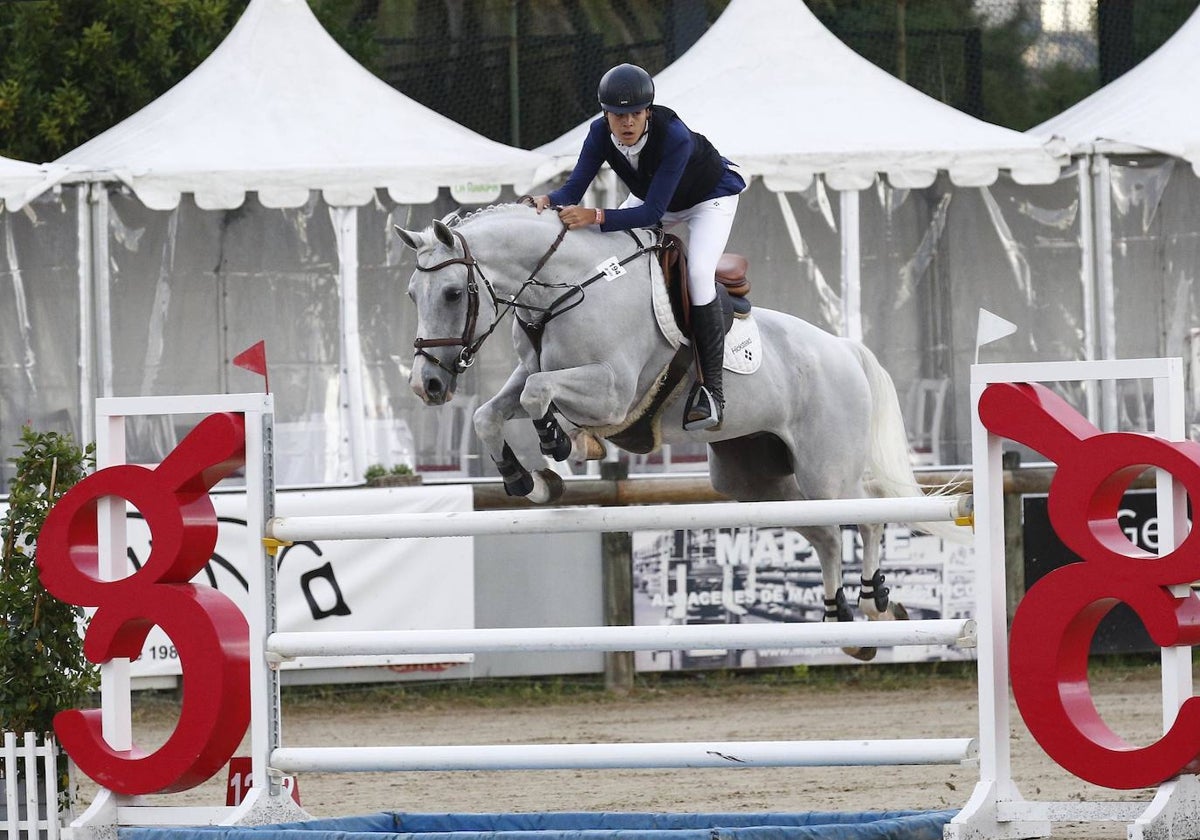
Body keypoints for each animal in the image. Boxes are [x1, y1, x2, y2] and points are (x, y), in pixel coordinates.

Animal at [393, 201, 955, 657]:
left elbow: (539, 393)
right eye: (411, 294)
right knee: (826, 534)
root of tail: (846, 349)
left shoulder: (613, 390)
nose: (428, 385)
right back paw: (841, 619)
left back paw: (875, 602)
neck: (566, 289)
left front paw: (556, 440)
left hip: (827, 471)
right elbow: (491, 412)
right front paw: (530, 482)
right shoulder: (528, 375)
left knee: (868, 518)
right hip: (756, 481)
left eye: (451, 293)